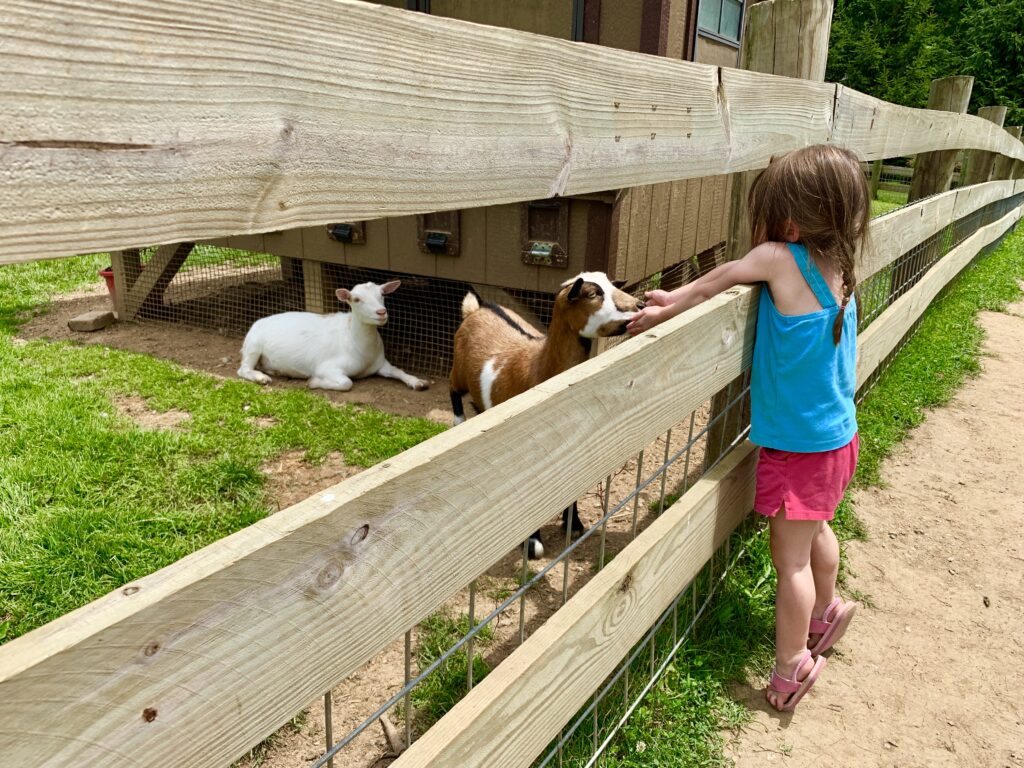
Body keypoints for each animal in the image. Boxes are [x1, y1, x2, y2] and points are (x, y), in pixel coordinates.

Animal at [236, 280, 428, 391]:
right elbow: (346, 383)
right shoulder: (327, 367)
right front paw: (313, 383)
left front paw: (418, 382)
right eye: (356, 299)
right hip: (253, 345)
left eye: (382, 294)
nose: (381, 312)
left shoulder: (380, 363)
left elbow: (397, 370)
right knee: (243, 369)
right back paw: (261, 378)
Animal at [448, 272, 638, 561]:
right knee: (453, 389)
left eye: (613, 285)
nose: (639, 305)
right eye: (593, 294)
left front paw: (574, 524)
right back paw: (459, 420)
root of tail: (476, 309)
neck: (538, 366)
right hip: (458, 370)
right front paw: (532, 544)